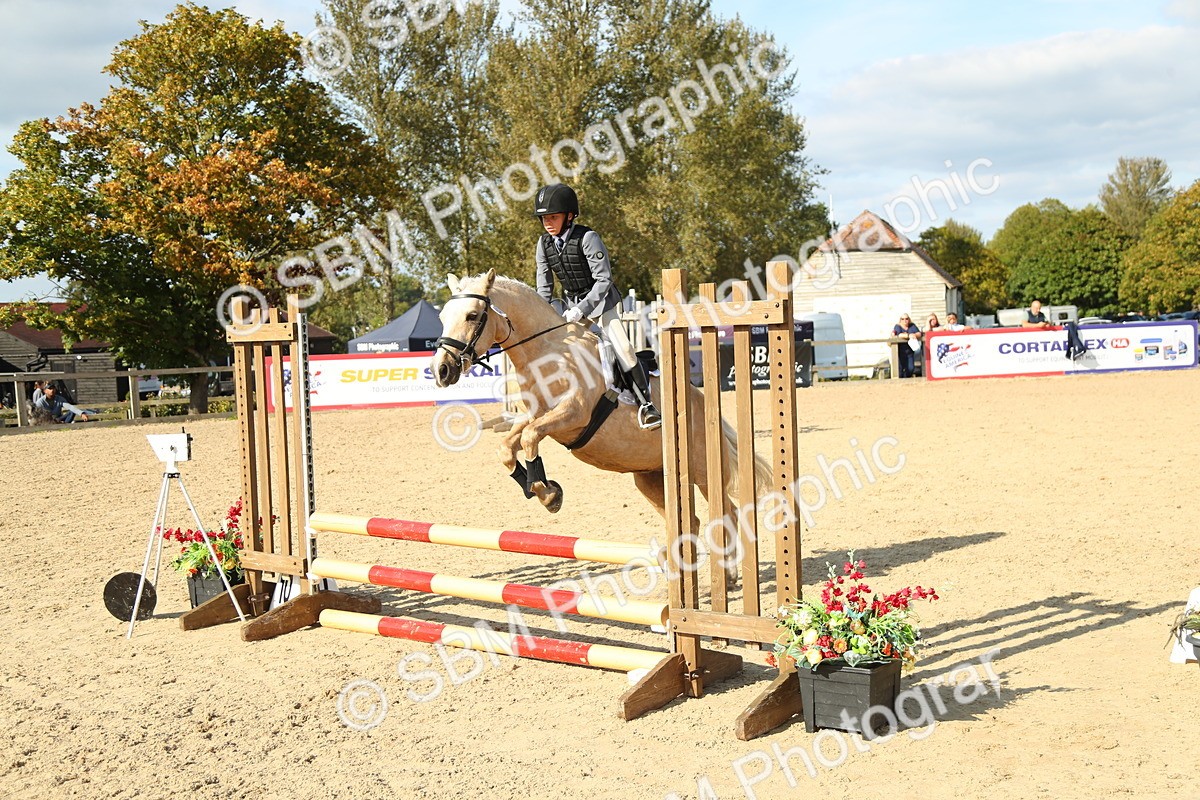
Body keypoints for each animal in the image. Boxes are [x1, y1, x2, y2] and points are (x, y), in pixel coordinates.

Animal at [430, 270, 771, 575]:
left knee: (728, 513)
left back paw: (729, 572)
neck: (547, 352)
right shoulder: (535, 415)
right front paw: (538, 489)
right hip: (650, 478)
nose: (442, 370)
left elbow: (529, 438)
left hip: (702, 471)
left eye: (473, 315)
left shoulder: (572, 414)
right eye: (444, 316)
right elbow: (508, 446)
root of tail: (701, 402)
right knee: (695, 521)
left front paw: (549, 494)